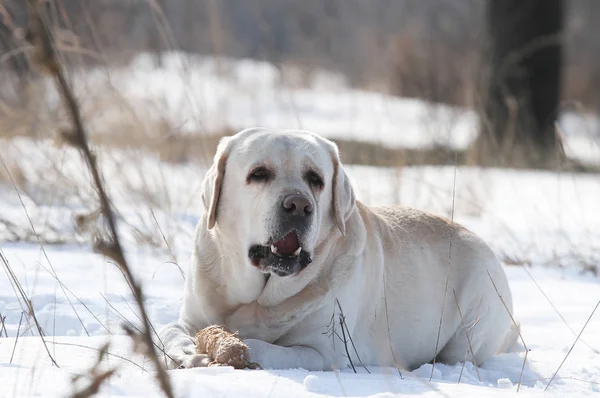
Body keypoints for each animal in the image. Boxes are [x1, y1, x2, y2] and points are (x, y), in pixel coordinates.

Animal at [158, 127, 516, 370]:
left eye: (316, 179)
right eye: (258, 174)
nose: (299, 205)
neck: (259, 300)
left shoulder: (323, 351)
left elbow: (260, 345)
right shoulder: (192, 316)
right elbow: (169, 329)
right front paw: (189, 351)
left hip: (474, 321)